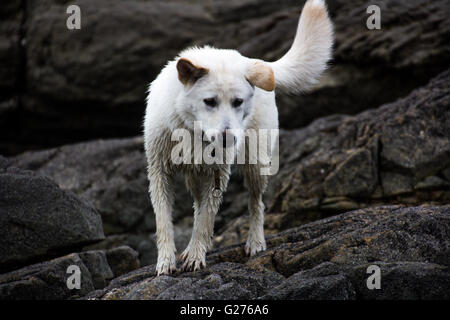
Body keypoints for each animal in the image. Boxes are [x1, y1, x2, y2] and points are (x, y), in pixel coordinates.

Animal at [144, 0, 334, 276]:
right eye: (209, 101)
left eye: (237, 102)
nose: (227, 140)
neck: (192, 132)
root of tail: (250, 61)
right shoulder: (160, 172)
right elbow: (164, 222)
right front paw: (166, 261)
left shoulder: (219, 175)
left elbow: (206, 220)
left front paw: (196, 256)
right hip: (196, 177)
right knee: (198, 206)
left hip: (256, 165)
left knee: (256, 204)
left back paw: (255, 243)